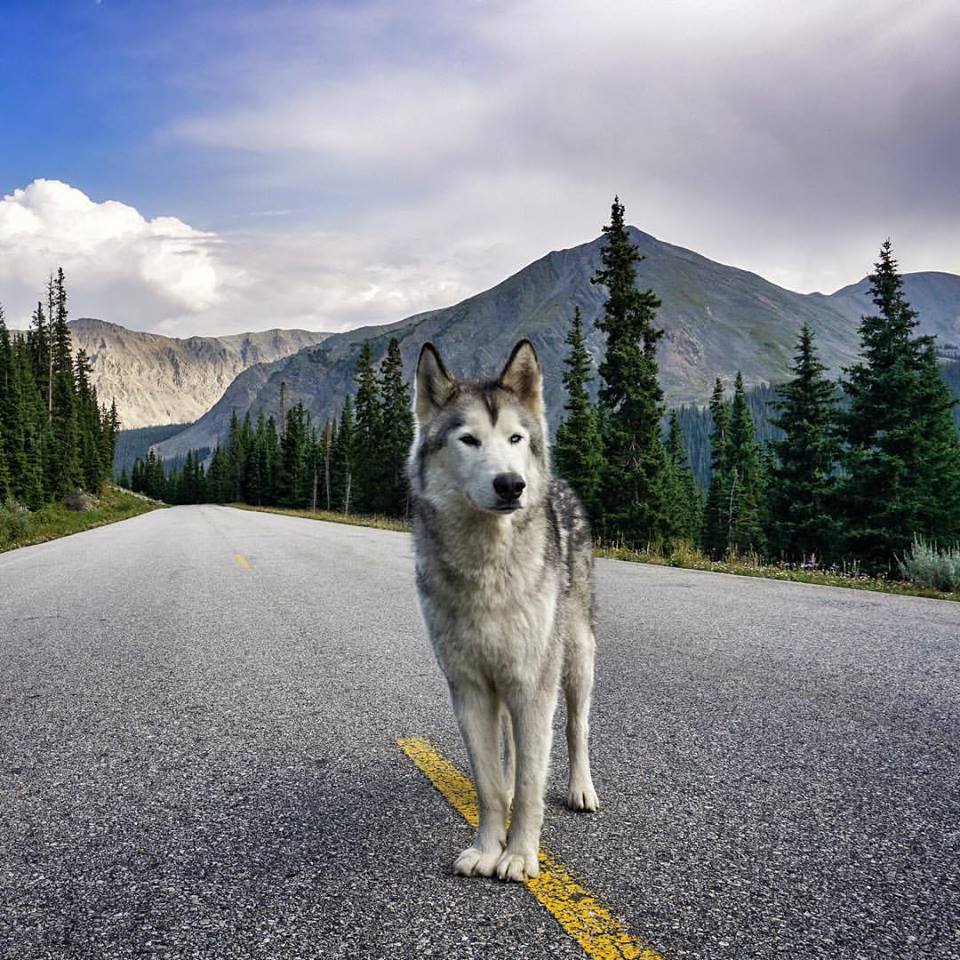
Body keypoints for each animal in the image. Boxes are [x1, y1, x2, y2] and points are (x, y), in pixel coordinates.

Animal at [407, 339, 598, 883]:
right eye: (469, 440)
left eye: (515, 438)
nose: (511, 484)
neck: (488, 569)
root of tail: (561, 485)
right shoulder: (470, 688)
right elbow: (489, 785)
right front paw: (487, 848)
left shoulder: (534, 686)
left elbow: (534, 786)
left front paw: (519, 855)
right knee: (512, 749)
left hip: (575, 661)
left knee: (576, 729)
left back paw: (581, 789)